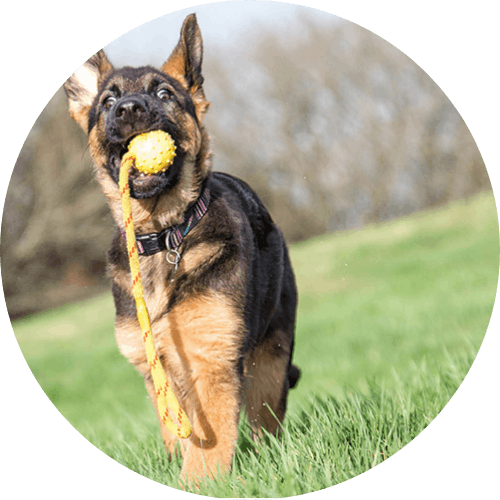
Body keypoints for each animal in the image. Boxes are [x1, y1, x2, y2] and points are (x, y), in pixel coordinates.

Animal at [66, 13, 300, 482]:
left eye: (164, 94)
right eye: (107, 101)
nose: (129, 109)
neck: (164, 235)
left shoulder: (211, 360)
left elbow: (204, 457)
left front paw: (200, 484)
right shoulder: (156, 371)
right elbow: (178, 437)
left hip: (270, 359)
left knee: (266, 421)